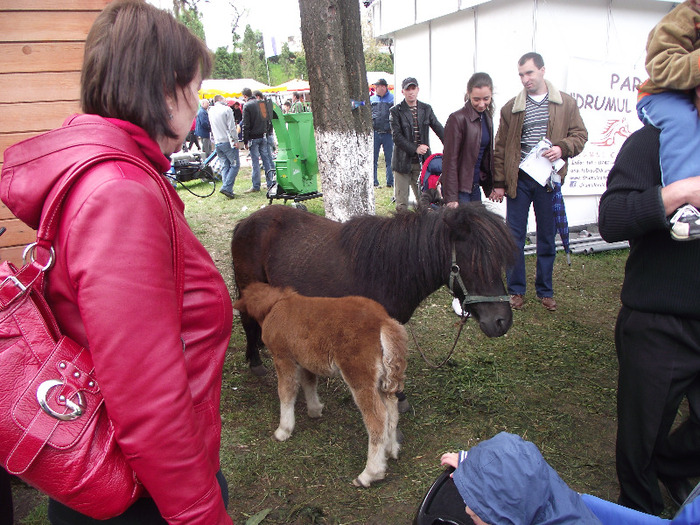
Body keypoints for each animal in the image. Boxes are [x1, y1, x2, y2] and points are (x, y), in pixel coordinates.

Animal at [232, 202, 512, 372]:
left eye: (499, 262)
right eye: (473, 265)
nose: (502, 322)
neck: (390, 267)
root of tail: (246, 221)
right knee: (247, 321)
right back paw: (255, 361)